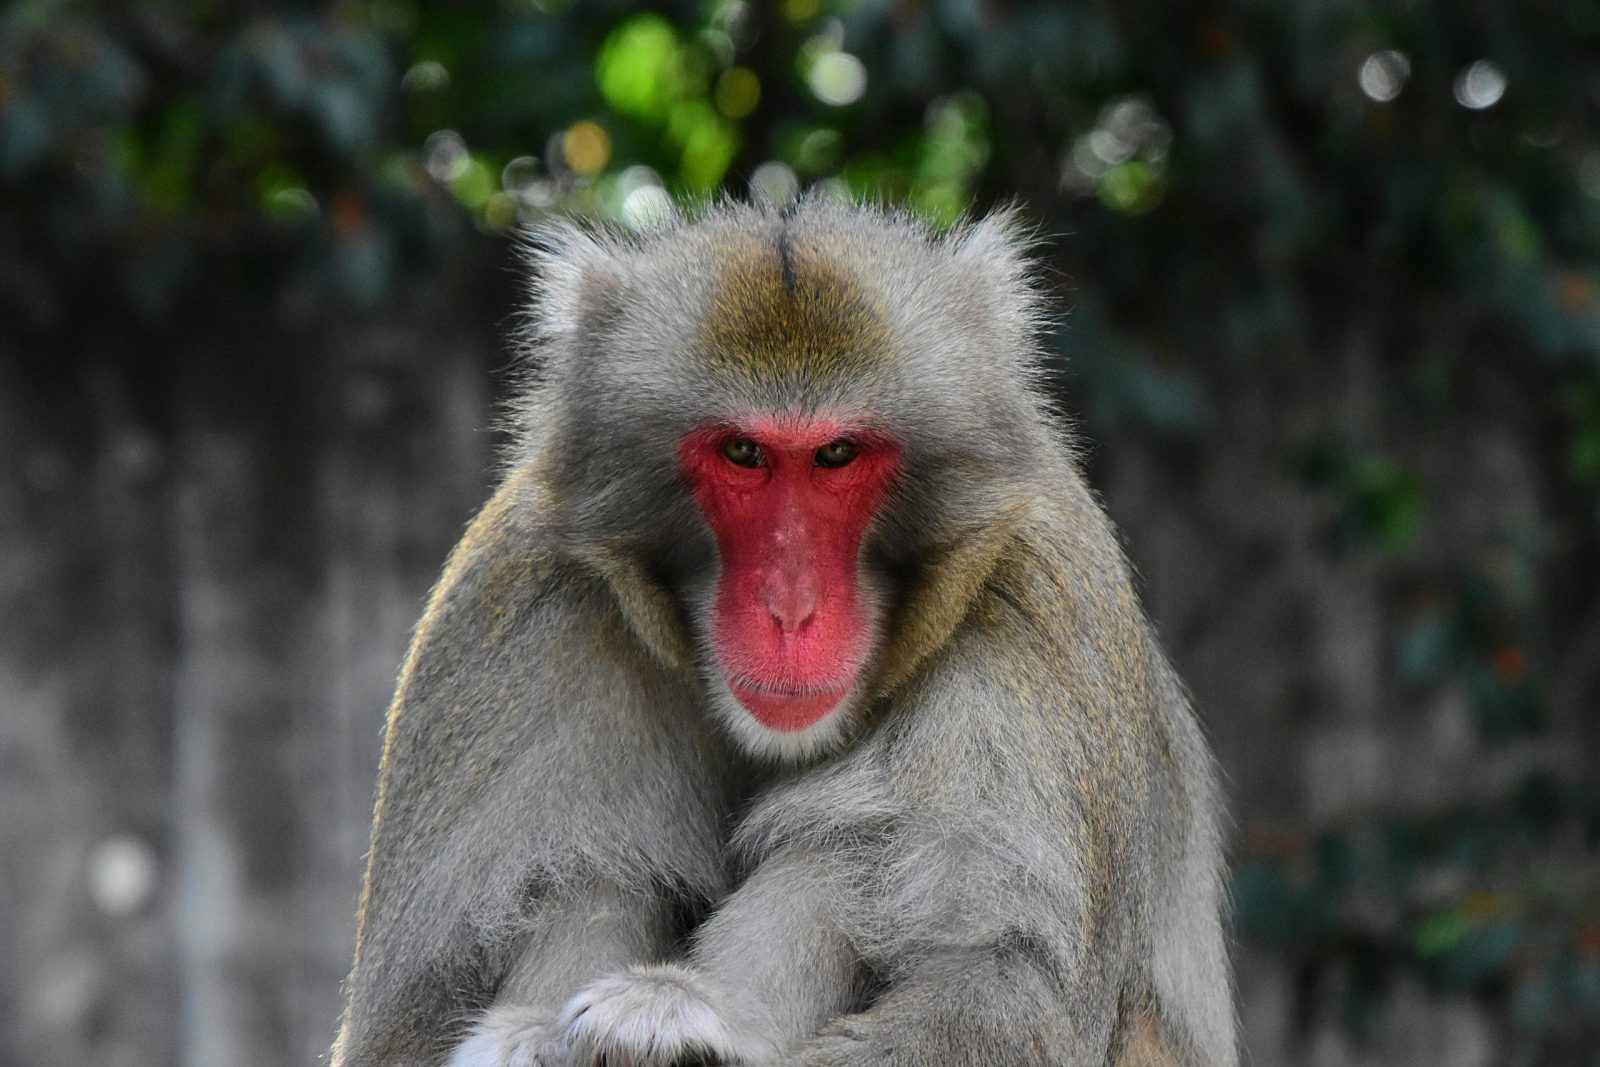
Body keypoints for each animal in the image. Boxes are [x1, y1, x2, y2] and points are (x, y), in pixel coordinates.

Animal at [330, 198, 1236, 1067]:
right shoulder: (515, 596)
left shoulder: (1039, 600)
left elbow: (1008, 993)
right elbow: (407, 1021)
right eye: (743, 452)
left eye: (836, 453)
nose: (791, 608)